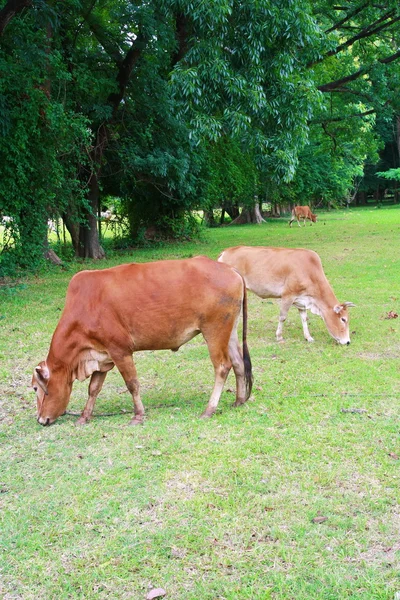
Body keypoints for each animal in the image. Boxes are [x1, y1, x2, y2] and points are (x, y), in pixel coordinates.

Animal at [33, 258, 253, 426]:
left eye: (35, 388)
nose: (41, 419)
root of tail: (230, 269)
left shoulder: (120, 351)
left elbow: (132, 384)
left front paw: (138, 415)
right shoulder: (102, 356)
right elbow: (93, 389)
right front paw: (84, 417)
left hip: (214, 331)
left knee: (222, 366)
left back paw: (209, 409)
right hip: (229, 331)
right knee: (238, 363)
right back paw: (239, 400)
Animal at [219, 246, 354, 344]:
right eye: (343, 319)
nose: (347, 342)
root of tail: (226, 252)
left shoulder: (302, 301)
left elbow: (304, 319)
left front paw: (308, 337)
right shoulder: (287, 296)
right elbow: (282, 317)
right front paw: (279, 337)